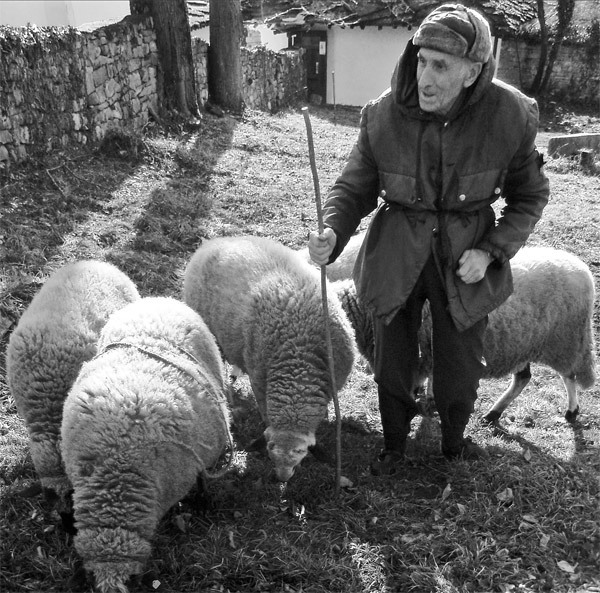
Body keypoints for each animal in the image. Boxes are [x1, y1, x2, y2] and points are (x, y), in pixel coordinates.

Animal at [335, 247, 597, 424]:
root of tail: (582, 268)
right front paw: (426, 398)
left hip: (566, 339)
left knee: (569, 376)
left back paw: (572, 411)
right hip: (522, 343)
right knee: (524, 378)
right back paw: (493, 413)